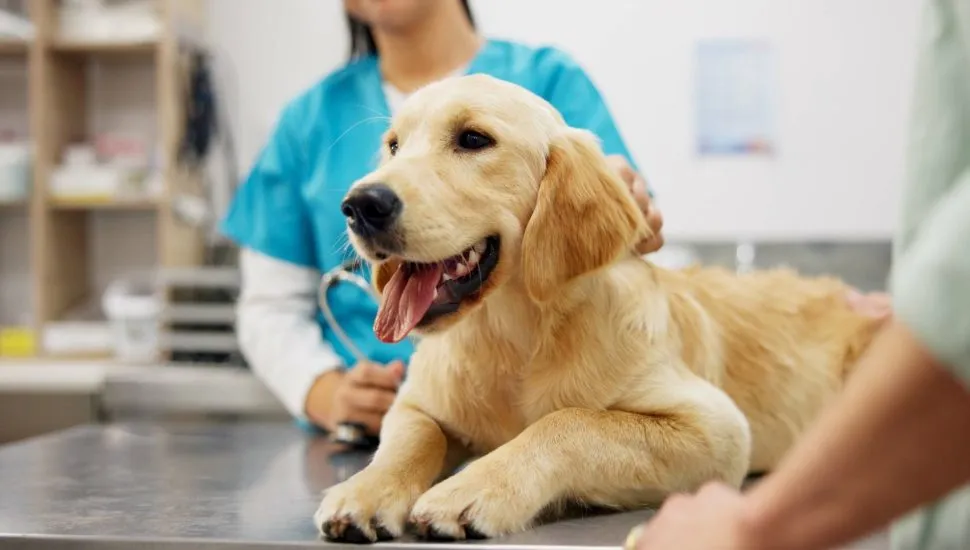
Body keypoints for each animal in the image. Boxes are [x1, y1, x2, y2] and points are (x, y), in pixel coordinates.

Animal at [314, 72, 880, 544]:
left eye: (473, 139)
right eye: (393, 146)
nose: (360, 205)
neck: (514, 337)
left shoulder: (717, 429)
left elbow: (572, 422)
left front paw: (471, 489)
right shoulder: (416, 403)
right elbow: (409, 440)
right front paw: (365, 490)